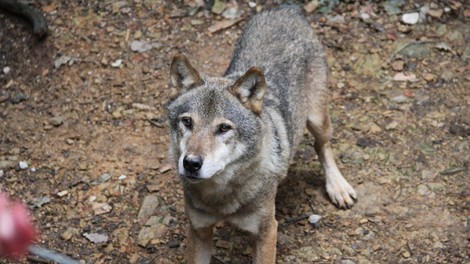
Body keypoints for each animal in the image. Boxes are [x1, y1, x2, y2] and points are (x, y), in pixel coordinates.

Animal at [165, 5, 356, 262]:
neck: (221, 198)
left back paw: (338, 187)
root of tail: (286, 8)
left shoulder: (267, 231)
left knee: (322, 146)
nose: (191, 163)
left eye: (223, 128)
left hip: (317, 120)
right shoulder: (198, 231)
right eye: (187, 122)